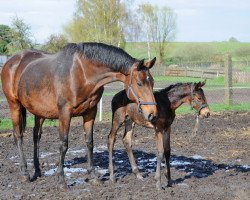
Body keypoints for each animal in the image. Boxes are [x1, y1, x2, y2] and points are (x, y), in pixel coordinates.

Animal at [0, 42, 157, 189]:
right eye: (139, 83)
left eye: (152, 82)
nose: (152, 113)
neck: (81, 73)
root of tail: (12, 61)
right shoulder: (65, 113)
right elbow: (63, 144)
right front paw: (61, 180)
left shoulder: (90, 112)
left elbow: (89, 142)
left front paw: (93, 176)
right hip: (14, 105)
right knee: (18, 136)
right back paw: (25, 173)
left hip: (39, 112)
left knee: (36, 136)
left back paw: (37, 171)